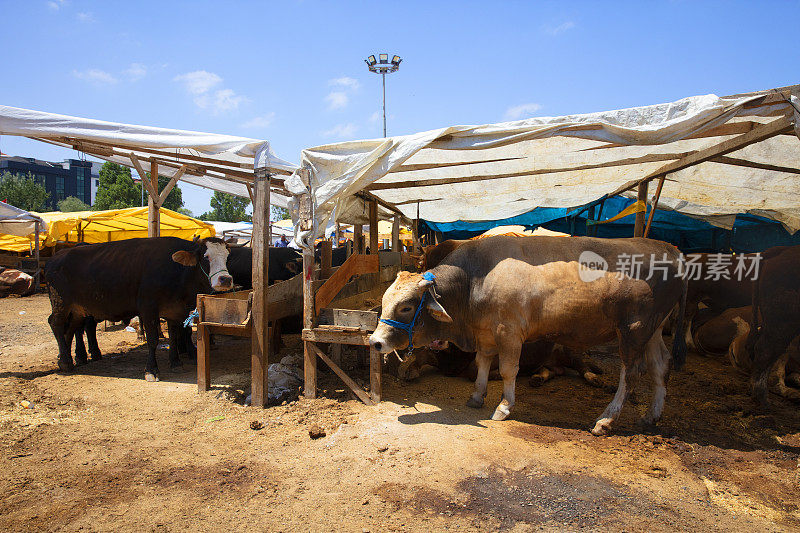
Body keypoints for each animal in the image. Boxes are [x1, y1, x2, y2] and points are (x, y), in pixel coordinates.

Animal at [368, 235, 688, 434]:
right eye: (384, 300)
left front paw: (504, 406)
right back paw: (651, 415)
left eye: (406, 307)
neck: (474, 280)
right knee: (661, 366)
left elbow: (508, 370)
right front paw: (477, 395)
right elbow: (483, 363)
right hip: (653, 330)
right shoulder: (486, 333)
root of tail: (672, 249)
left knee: (632, 373)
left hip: (634, 330)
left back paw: (606, 420)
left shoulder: (509, 332)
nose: (375, 342)